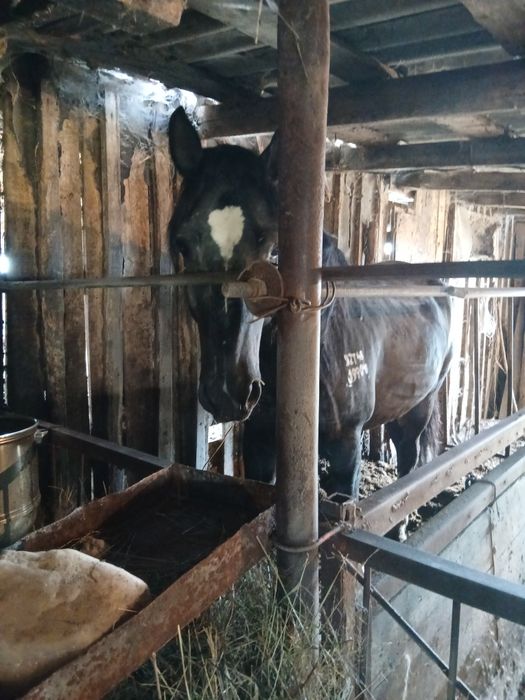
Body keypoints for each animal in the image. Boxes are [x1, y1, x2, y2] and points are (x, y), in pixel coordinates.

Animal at [167, 106, 453, 500]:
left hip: (420, 407)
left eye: (275, 248)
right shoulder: (259, 444)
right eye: (182, 244)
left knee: (409, 463)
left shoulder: (347, 450)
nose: (226, 392)